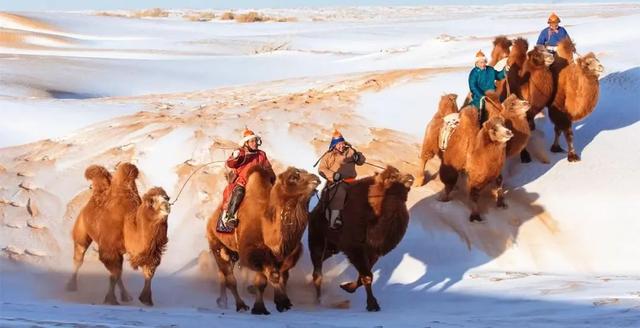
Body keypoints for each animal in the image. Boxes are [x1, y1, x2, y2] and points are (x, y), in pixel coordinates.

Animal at [208, 167, 320, 316]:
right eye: (293, 177)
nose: (316, 179)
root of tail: (210, 220)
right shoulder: (254, 252)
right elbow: (272, 276)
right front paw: (279, 303)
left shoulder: (282, 255)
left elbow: (269, 279)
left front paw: (270, 305)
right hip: (215, 242)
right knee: (229, 277)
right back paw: (240, 305)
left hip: (231, 252)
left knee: (223, 274)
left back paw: (222, 301)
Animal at [308, 168, 416, 312]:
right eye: (392, 177)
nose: (410, 177)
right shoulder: (355, 248)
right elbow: (367, 276)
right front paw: (372, 305)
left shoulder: (373, 252)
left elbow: (364, 276)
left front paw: (347, 287)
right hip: (317, 237)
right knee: (317, 269)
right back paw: (318, 300)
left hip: (333, 247)